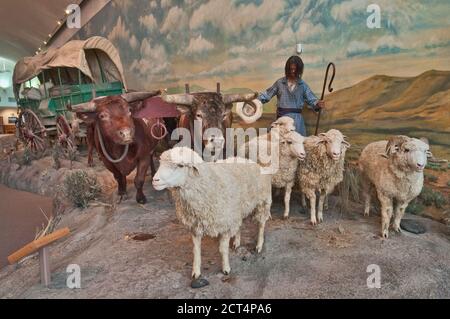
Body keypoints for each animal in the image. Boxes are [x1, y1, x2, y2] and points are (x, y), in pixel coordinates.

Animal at [152, 148, 270, 284]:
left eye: (180, 165)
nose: (154, 181)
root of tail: (247, 160)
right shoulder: (196, 226)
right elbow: (196, 250)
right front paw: (196, 272)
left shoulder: (225, 224)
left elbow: (223, 249)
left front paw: (226, 269)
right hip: (237, 209)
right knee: (239, 225)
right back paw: (237, 242)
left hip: (262, 202)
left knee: (261, 225)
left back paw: (259, 245)